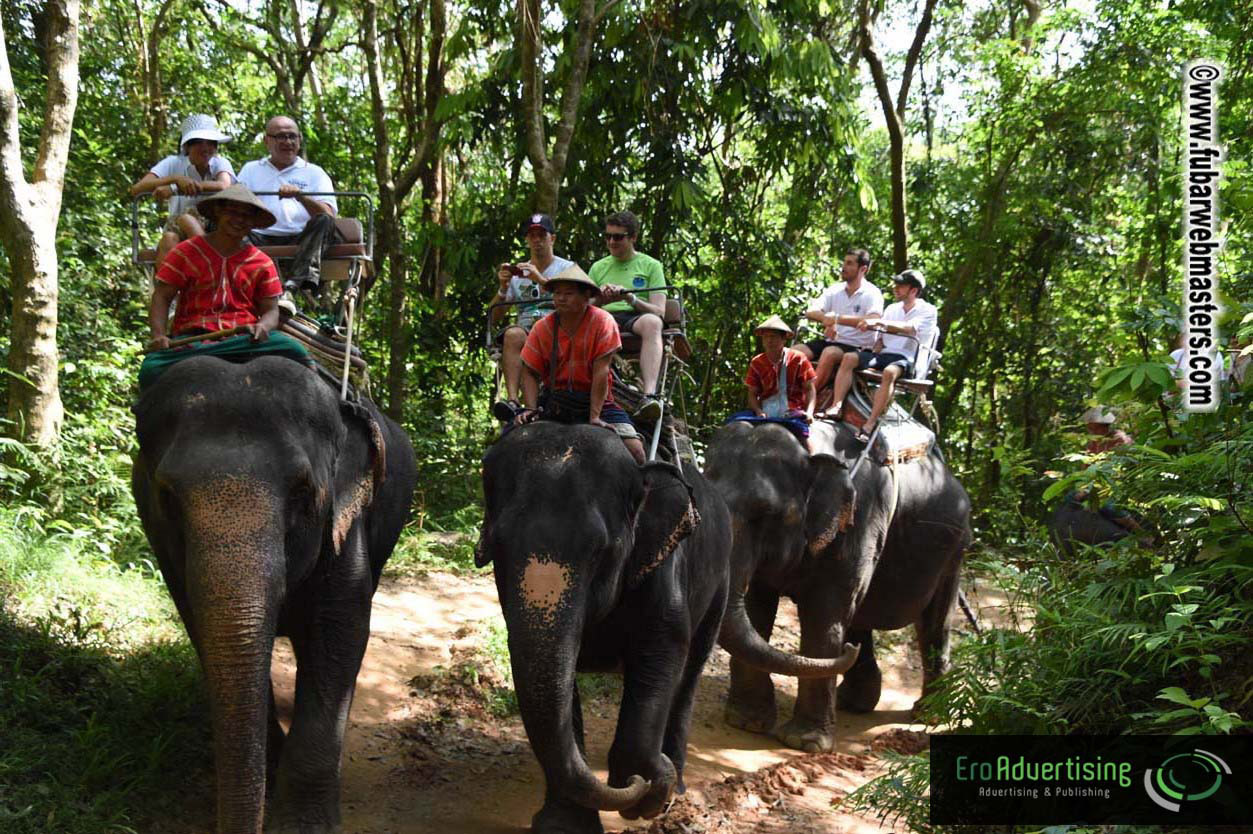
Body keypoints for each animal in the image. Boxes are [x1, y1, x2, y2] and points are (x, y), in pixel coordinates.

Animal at [131, 356, 417, 834]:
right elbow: (205, 632)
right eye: (167, 497)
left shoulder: (346, 520)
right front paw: (270, 772)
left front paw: (303, 823)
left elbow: (341, 631)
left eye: (302, 493)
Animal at [476, 422, 857, 834]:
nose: (638, 783)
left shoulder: (666, 564)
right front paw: (565, 825)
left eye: (602, 551)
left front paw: (649, 792)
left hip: (720, 582)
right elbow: (553, 676)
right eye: (497, 547)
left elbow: (664, 649)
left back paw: (677, 784)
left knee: (690, 669)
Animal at [704, 418, 972, 753]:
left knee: (934, 623)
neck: (810, 450)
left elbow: (824, 616)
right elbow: (757, 608)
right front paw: (746, 722)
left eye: (765, 512)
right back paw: (854, 701)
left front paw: (803, 742)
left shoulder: (861, 520)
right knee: (861, 617)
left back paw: (929, 714)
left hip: (954, 549)